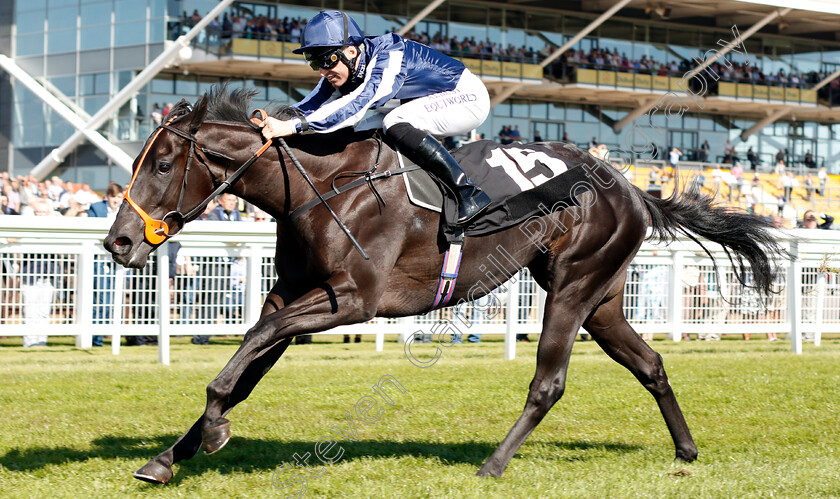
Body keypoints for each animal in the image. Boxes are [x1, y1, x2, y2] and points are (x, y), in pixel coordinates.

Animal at [103, 88, 780, 486]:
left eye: (161, 165)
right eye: (138, 163)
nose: (118, 243)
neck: (324, 185)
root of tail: (632, 185)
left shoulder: (353, 300)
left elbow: (246, 353)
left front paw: (211, 428)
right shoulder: (291, 294)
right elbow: (249, 364)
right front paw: (168, 456)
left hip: (573, 286)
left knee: (549, 382)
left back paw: (494, 464)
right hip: (603, 298)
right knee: (650, 363)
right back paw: (686, 451)